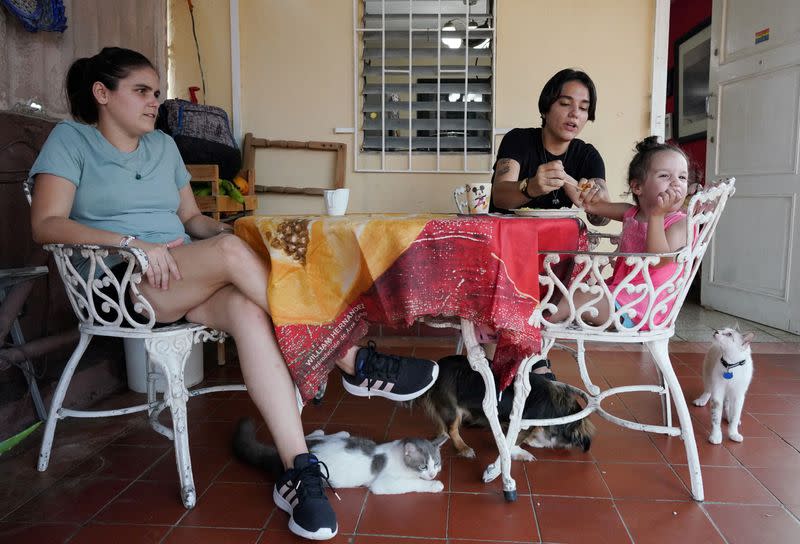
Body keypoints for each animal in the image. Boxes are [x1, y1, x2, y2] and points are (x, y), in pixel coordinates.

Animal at [233, 418, 450, 496]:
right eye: (423, 466)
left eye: (437, 464)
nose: (433, 474)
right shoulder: (383, 484)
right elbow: (412, 483)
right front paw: (434, 485)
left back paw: (326, 432)